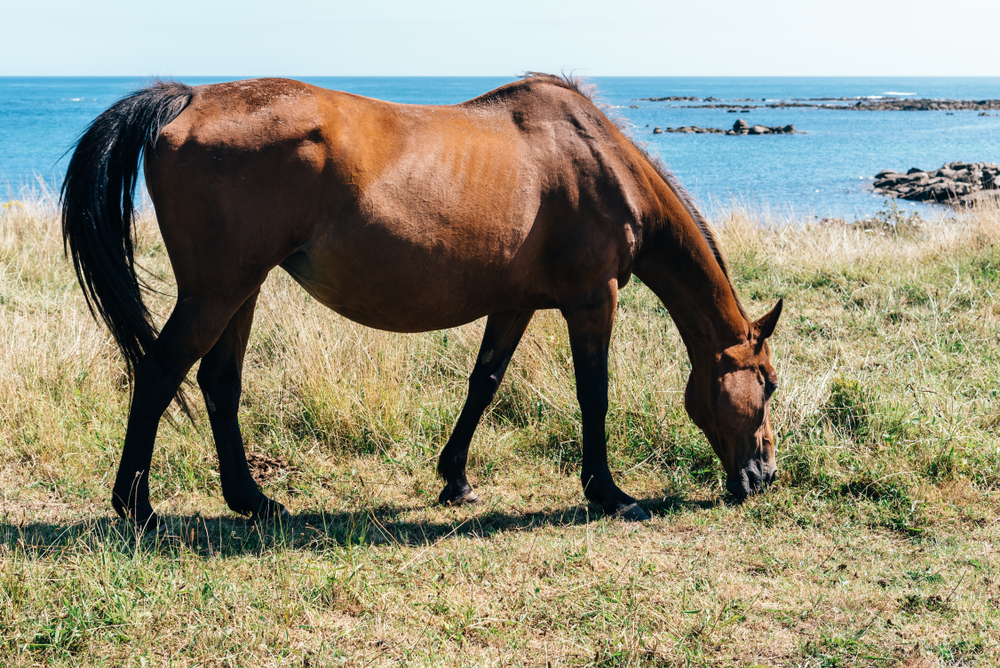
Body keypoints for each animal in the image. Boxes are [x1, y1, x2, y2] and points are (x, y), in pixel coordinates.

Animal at [60, 74, 780, 532]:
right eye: (768, 384)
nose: (765, 474)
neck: (595, 161)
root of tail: (190, 97)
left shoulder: (515, 304)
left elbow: (483, 383)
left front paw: (454, 479)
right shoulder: (590, 300)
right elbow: (594, 394)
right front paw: (608, 492)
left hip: (241, 288)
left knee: (218, 382)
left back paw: (253, 501)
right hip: (216, 291)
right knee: (160, 372)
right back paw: (138, 507)